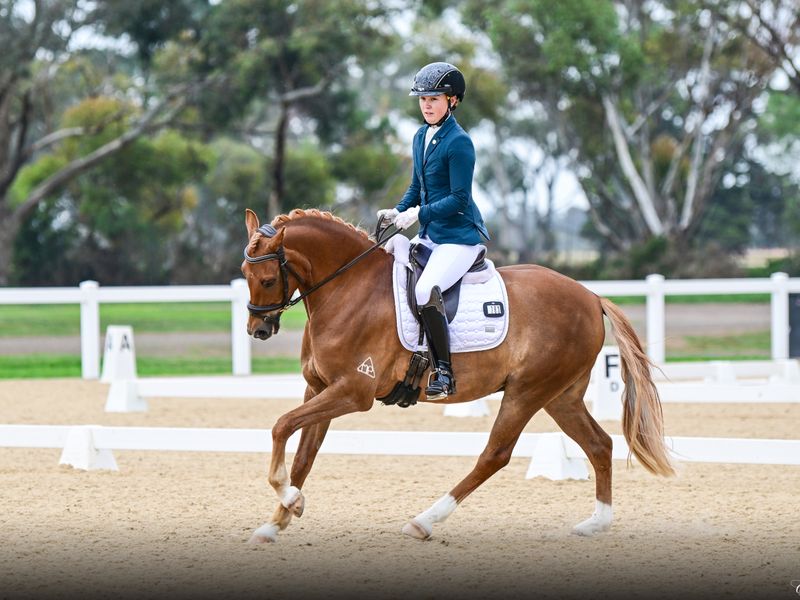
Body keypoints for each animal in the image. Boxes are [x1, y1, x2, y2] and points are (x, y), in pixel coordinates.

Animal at [240, 208, 675, 543]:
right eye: (244, 273)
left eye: (267, 279)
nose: (257, 330)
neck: (349, 287)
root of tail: (591, 296)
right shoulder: (319, 388)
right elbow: (303, 456)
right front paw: (277, 521)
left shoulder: (353, 392)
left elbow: (281, 426)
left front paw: (289, 499)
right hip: (561, 396)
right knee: (599, 445)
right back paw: (596, 523)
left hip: (528, 392)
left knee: (495, 454)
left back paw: (423, 521)